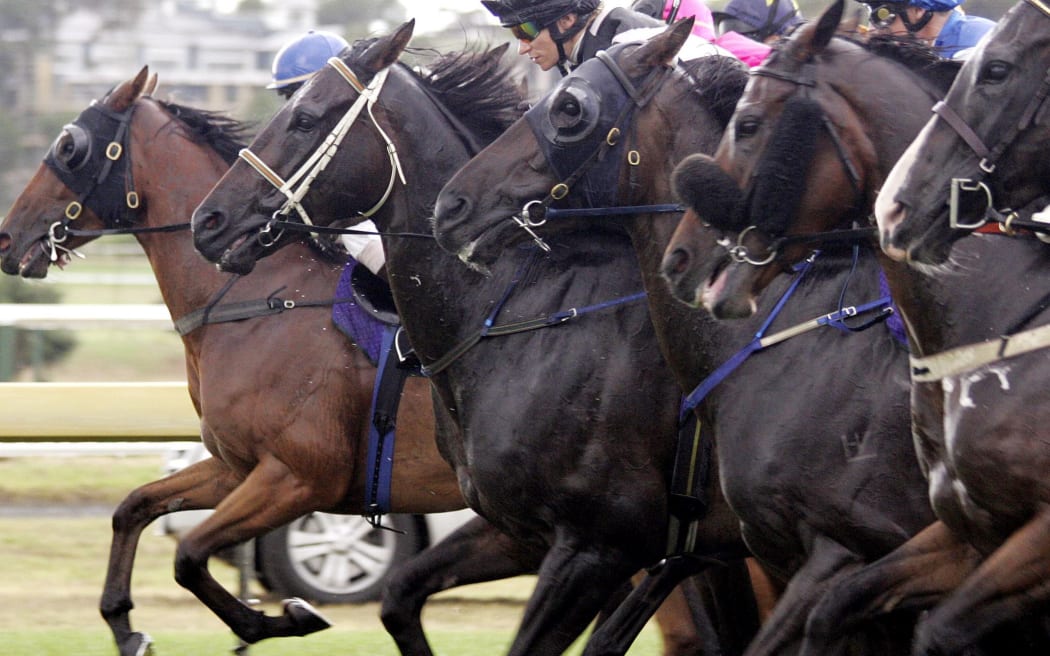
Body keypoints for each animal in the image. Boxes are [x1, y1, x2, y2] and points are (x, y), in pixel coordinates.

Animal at [0, 65, 554, 654]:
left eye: (69, 146)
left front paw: (281, 618)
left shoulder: (298, 478)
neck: (258, 300)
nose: (8, 237)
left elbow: (189, 555)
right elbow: (135, 507)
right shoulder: (239, 467)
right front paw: (125, 625)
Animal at [191, 20, 764, 654]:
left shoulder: (599, 544)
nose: (208, 220)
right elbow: (399, 598)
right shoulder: (530, 532)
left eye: (305, 118)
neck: (524, 317)